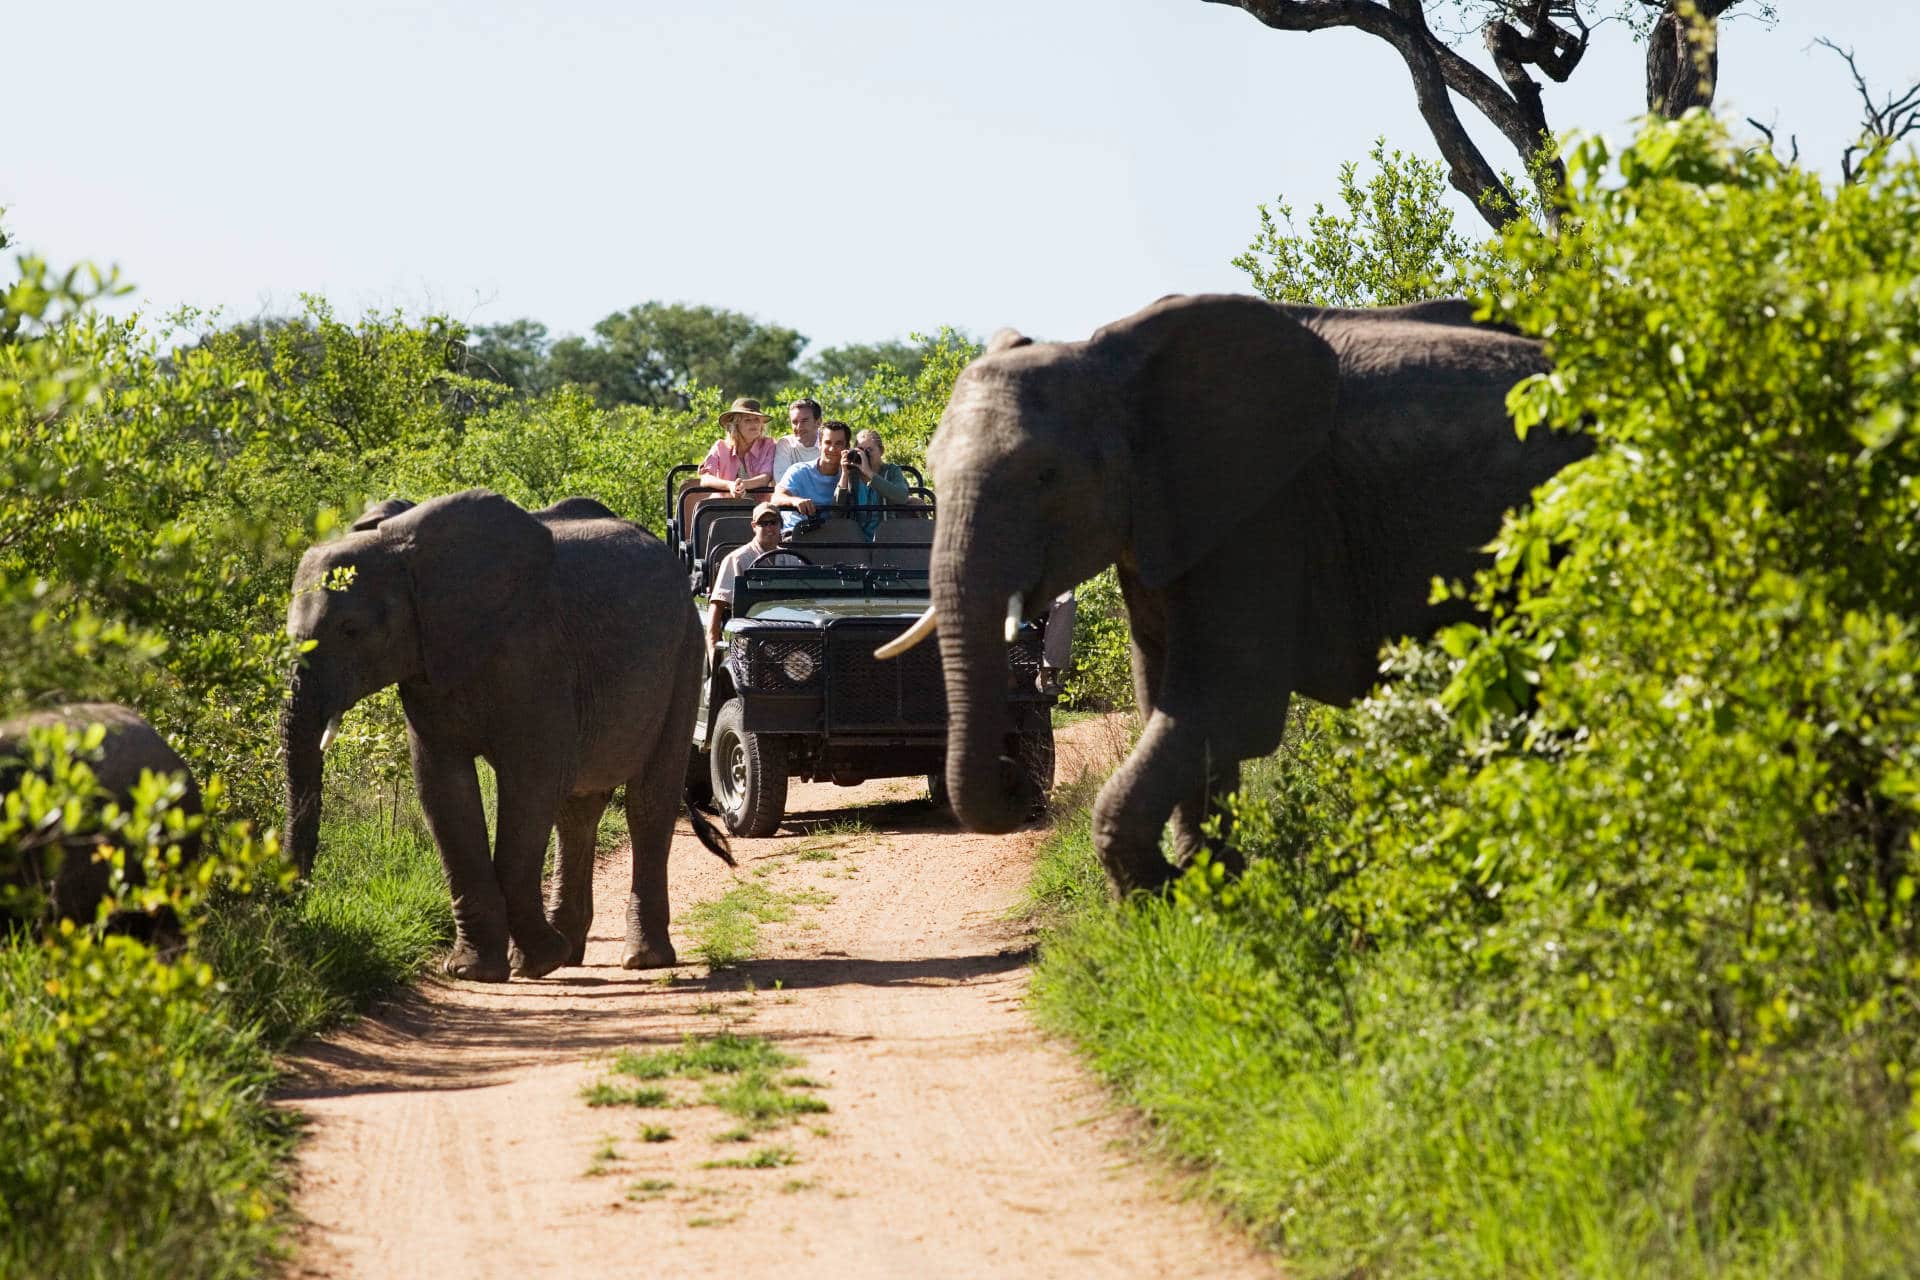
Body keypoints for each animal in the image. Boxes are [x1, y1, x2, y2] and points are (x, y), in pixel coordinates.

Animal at [280, 487, 729, 982]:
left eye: (351, 630)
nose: (292, 901)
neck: (405, 552)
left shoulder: (533, 656)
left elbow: (530, 784)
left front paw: (533, 962)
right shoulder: (428, 666)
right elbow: (443, 789)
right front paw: (475, 970)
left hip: (686, 655)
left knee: (647, 803)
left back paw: (640, 959)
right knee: (576, 811)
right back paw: (570, 951)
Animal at [887, 295, 1589, 898]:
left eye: (1046, 475)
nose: (1016, 782)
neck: (1115, 369)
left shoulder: (1264, 513)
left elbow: (1226, 702)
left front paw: (1164, 895)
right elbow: (1166, 700)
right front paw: (1214, 885)